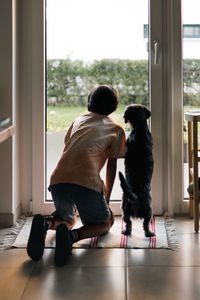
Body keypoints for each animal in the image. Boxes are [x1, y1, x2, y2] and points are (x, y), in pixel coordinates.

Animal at [119, 104, 155, 238]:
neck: (139, 128)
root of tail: (135, 196)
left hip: (128, 209)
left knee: (132, 223)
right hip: (143, 210)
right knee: (140, 223)